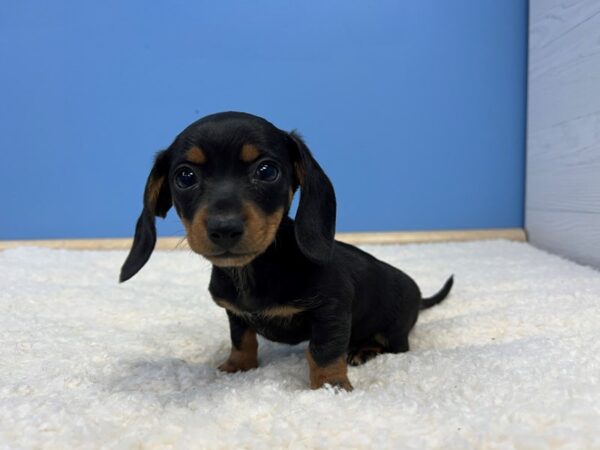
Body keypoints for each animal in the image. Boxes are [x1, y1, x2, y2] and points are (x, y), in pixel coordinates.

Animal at [120, 111, 450, 390]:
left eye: (267, 171)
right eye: (185, 176)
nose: (224, 228)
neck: (254, 270)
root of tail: (419, 295)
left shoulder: (331, 310)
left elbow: (324, 352)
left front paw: (330, 386)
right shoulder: (234, 313)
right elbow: (241, 339)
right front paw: (237, 367)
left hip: (395, 331)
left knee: (395, 346)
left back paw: (363, 350)